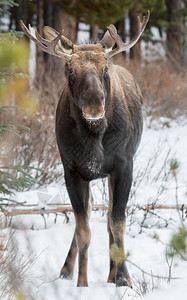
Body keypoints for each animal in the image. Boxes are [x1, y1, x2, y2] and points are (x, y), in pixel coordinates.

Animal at [20, 11, 149, 288]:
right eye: (70, 70)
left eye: (105, 68)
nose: (93, 105)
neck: (94, 137)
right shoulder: (72, 170)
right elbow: (83, 230)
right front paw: (82, 283)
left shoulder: (124, 165)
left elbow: (117, 222)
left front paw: (123, 279)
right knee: (88, 214)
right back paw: (67, 270)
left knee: (108, 216)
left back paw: (112, 274)